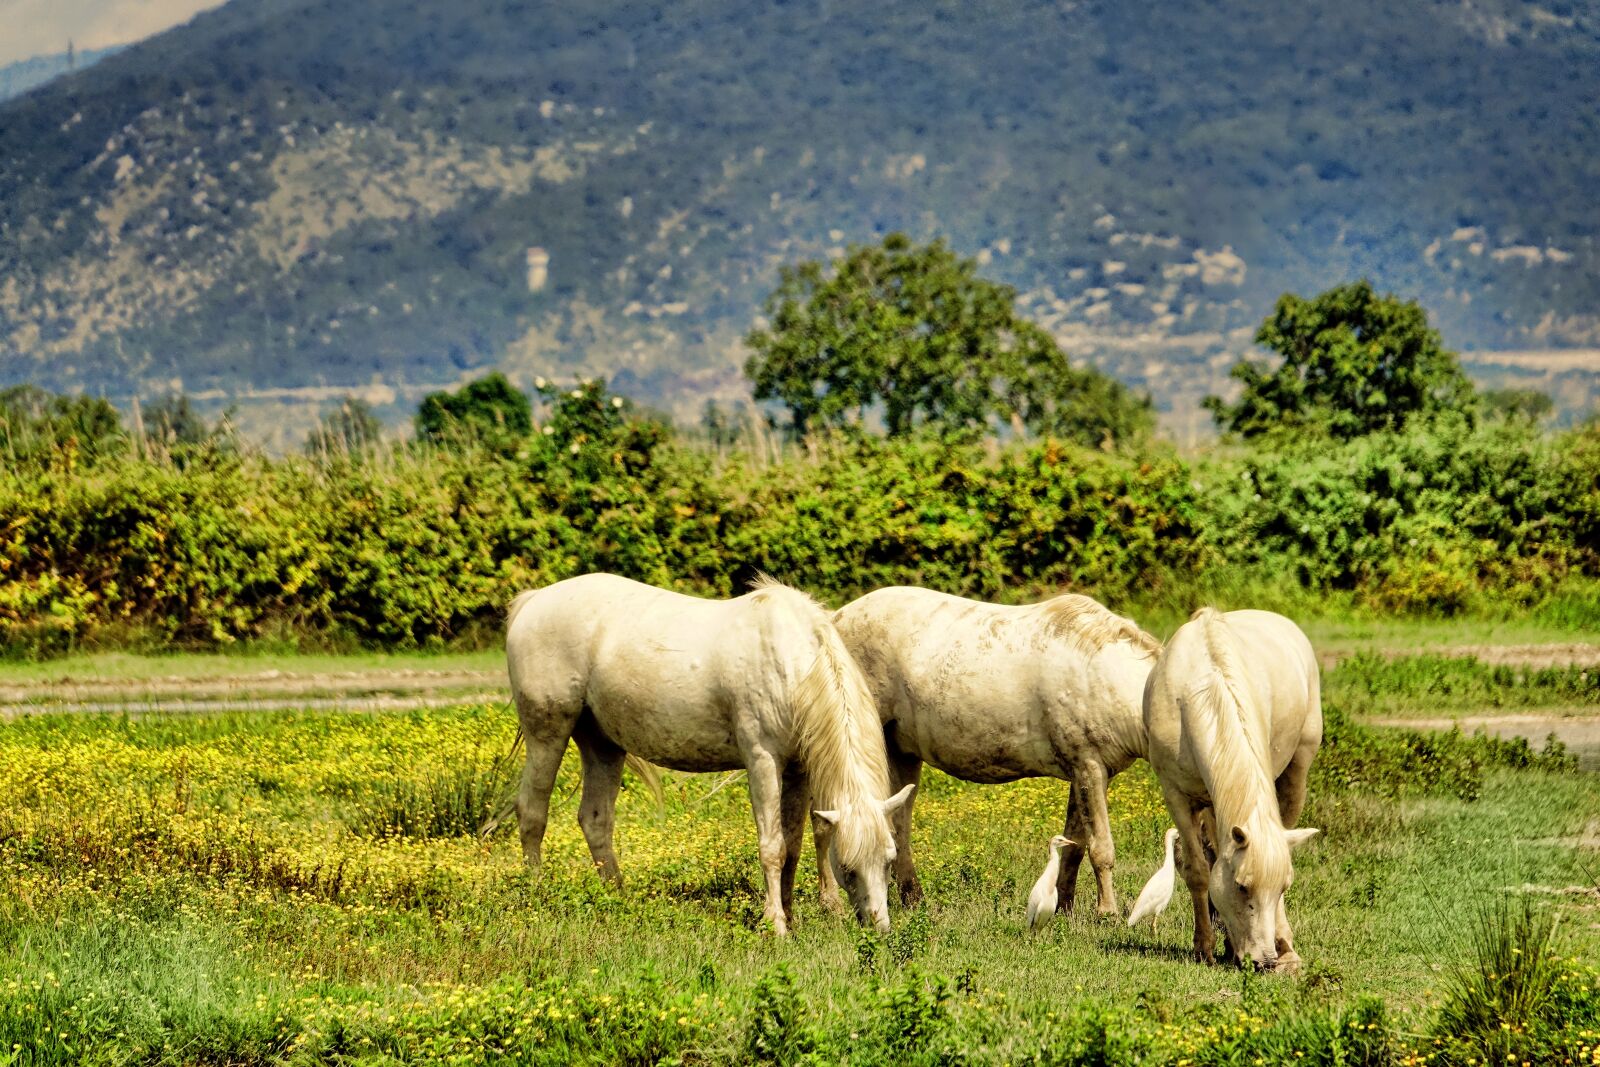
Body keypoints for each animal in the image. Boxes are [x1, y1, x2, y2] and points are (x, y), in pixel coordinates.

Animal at [504, 573, 912, 934]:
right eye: (848, 867)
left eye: (889, 860)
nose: (879, 929)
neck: (790, 664)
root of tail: (534, 600)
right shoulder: (762, 762)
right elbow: (773, 846)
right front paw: (777, 925)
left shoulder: (797, 770)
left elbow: (793, 847)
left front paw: (791, 918)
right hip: (548, 732)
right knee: (533, 813)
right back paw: (537, 893)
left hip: (601, 742)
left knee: (595, 819)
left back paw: (616, 898)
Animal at [832, 587, 1161, 915]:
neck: (1102, 678)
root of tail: (837, 618)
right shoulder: (1090, 769)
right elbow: (1100, 848)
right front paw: (1107, 912)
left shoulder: (1084, 772)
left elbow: (1075, 845)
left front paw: (1064, 907)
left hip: (901, 753)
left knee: (898, 823)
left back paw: (912, 898)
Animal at [1142, 607, 1322, 972]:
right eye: (1241, 886)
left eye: (1283, 888)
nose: (1264, 961)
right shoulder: (1177, 796)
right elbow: (1199, 870)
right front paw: (1204, 947)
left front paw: (1284, 949)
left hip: (1297, 770)